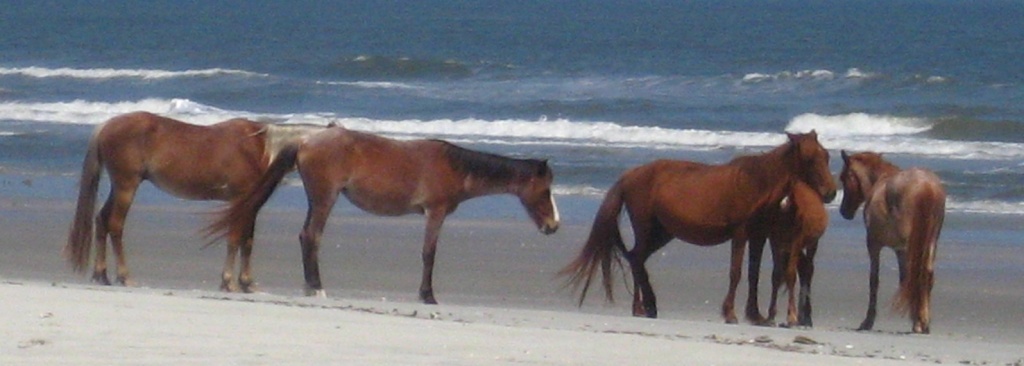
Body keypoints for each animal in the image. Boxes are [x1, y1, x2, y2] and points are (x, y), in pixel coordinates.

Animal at [66, 111, 321, 291]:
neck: (259, 147)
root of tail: (107, 125)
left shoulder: (249, 205)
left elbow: (246, 242)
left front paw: (247, 283)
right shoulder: (240, 200)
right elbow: (234, 240)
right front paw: (229, 282)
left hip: (120, 187)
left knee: (101, 220)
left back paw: (101, 275)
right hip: (126, 187)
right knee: (115, 226)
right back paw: (124, 277)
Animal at [206, 126, 561, 301]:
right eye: (545, 192)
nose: (554, 225)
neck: (455, 167)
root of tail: (306, 140)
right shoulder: (435, 213)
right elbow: (429, 254)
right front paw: (427, 295)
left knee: (307, 236)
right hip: (324, 198)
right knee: (311, 236)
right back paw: (316, 287)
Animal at [745, 178, 831, 326]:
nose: (783, 205)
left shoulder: (796, 241)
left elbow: (791, 275)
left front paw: (792, 316)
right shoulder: (775, 241)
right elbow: (776, 275)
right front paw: (771, 315)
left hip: (810, 243)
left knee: (808, 269)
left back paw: (805, 317)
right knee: (803, 269)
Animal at [839, 149, 942, 332]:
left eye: (844, 178)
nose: (844, 211)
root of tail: (927, 187)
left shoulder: (874, 245)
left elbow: (874, 280)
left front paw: (868, 321)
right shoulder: (899, 249)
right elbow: (904, 278)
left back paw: (919, 323)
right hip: (931, 242)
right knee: (927, 274)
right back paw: (924, 322)